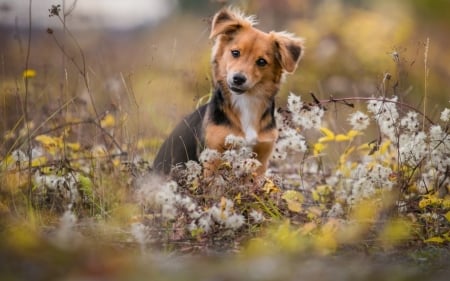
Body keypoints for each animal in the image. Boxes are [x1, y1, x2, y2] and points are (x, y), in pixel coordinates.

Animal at [153, 7, 304, 175]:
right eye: (235, 52)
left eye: (261, 61)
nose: (238, 78)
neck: (246, 102)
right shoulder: (212, 155)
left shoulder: (261, 159)